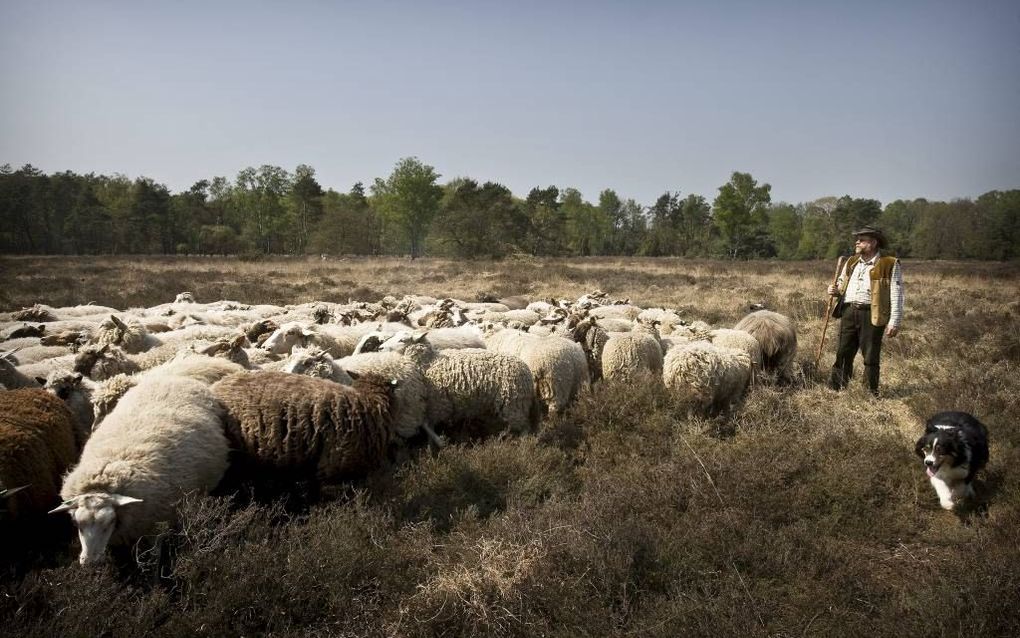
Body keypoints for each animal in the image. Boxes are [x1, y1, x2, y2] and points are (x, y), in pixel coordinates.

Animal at [51, 373, 231, 563]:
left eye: (108, 523)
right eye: (78, 525)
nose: (89, 561)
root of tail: (173, 377)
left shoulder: (157, 525)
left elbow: (154, 558)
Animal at [377, 328, 538, 436]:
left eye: (402, 340)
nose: (380, 347)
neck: (428, 362)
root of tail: (526, 370)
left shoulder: (438, 404)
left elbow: (430, 427)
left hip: (514, 402)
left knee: (525, 429)